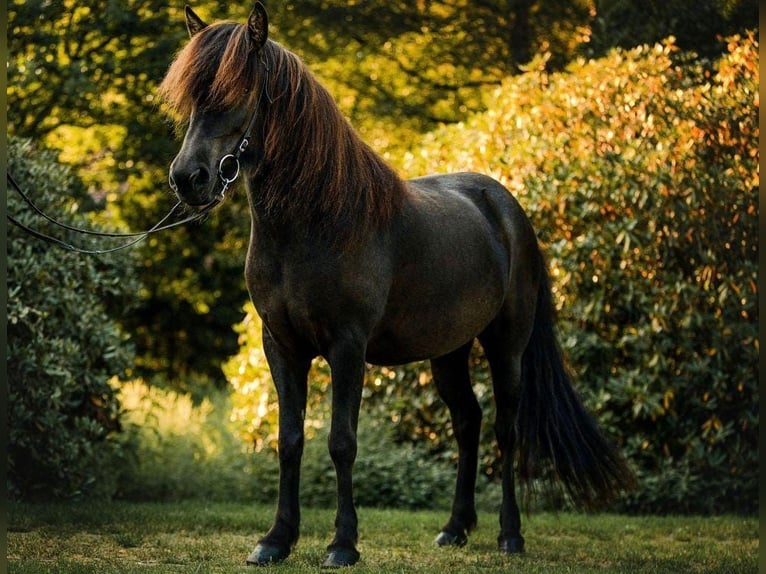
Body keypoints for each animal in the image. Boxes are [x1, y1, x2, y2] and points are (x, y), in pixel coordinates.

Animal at [159, 2, 634, 568]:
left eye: (237, 91)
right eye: (191, 96)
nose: (188, 179)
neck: (314, 222)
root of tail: (506, 207)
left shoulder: (347, 347)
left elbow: (342, 442)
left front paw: (343, 544)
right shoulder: (282, 346)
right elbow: (289, 439)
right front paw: (275, 540)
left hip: (506, 346)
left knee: (504, 429)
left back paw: (510, 535)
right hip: (449, 351)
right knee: (468, 423)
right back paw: (454, 528)